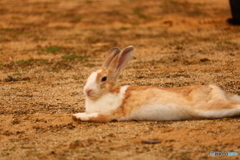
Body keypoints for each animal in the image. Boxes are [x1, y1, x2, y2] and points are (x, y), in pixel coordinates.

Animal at [72, 45, 240, 123]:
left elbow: (94, 116)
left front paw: (77, 116)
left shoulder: (111, 114)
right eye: (89, 76)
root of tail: (217, 89)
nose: (87, 90)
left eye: (104, 79)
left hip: (208, 107)